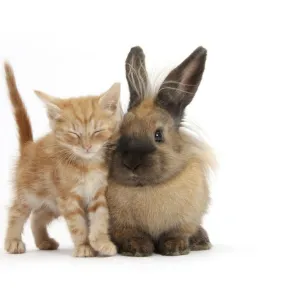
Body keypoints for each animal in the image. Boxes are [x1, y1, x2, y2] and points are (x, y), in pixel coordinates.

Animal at [3, 63, 120, 255]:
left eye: (97, 132)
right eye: (74, 134)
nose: (87, 147)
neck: (86, 165)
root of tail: (29, 146)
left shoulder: (98, 192)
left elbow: (100, 217)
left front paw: (101, 242)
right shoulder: (68, 198)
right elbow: (77, 224)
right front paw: (84, 246)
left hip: (52, 203)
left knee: (37, 217)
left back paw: (44, 241)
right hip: (31, 193)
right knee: (16, 211)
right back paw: (12, 241)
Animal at [106, 45, 214, 256]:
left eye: (158, 135)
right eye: (120, 131)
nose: (131, 162)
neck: (146, 188)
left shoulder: (184, 221)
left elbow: (177, 233)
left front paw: (176, 247)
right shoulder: (121, 226)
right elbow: (130, 235)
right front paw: (138, 248)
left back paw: (201, 241)